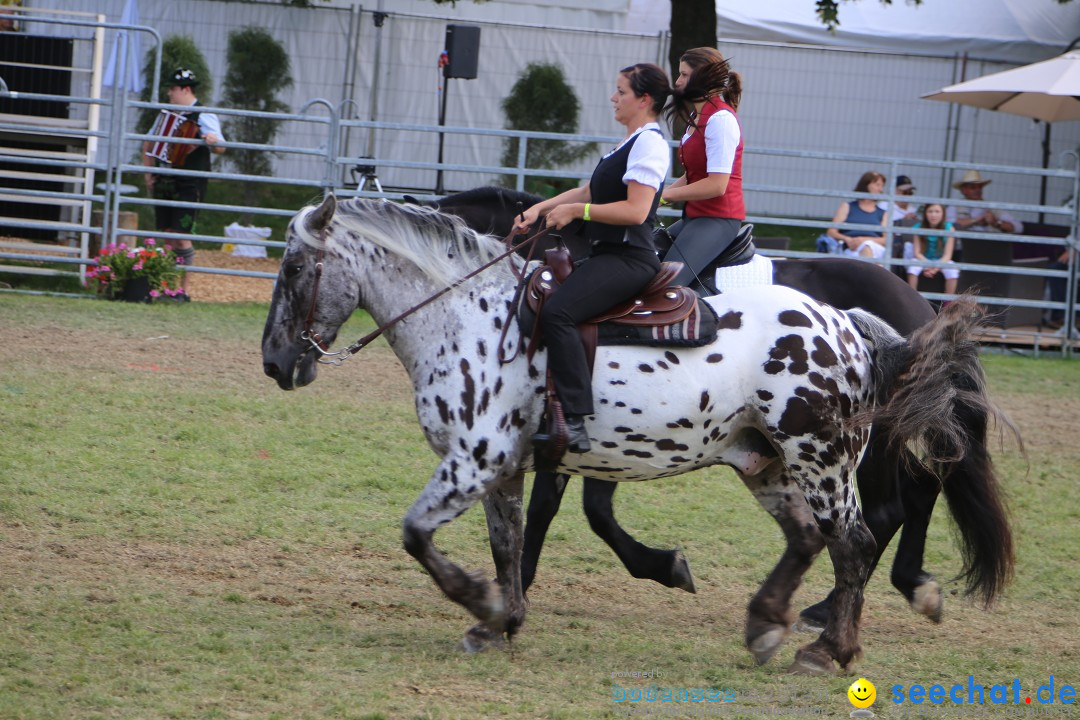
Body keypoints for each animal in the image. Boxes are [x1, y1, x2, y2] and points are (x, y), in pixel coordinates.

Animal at [265, 193, 1006, 677]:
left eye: (294, 269)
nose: (275, 362)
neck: (469, 316)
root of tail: (850, 324)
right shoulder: (508, 467)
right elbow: (509, 539)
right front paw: (503, 617)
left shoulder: (477, 459)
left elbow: (419, 533)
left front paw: (484, 602)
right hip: (765, 461)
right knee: (813, 535)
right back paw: (770, 623)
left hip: (821, 458)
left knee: (857, 536)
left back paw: (829, 648)